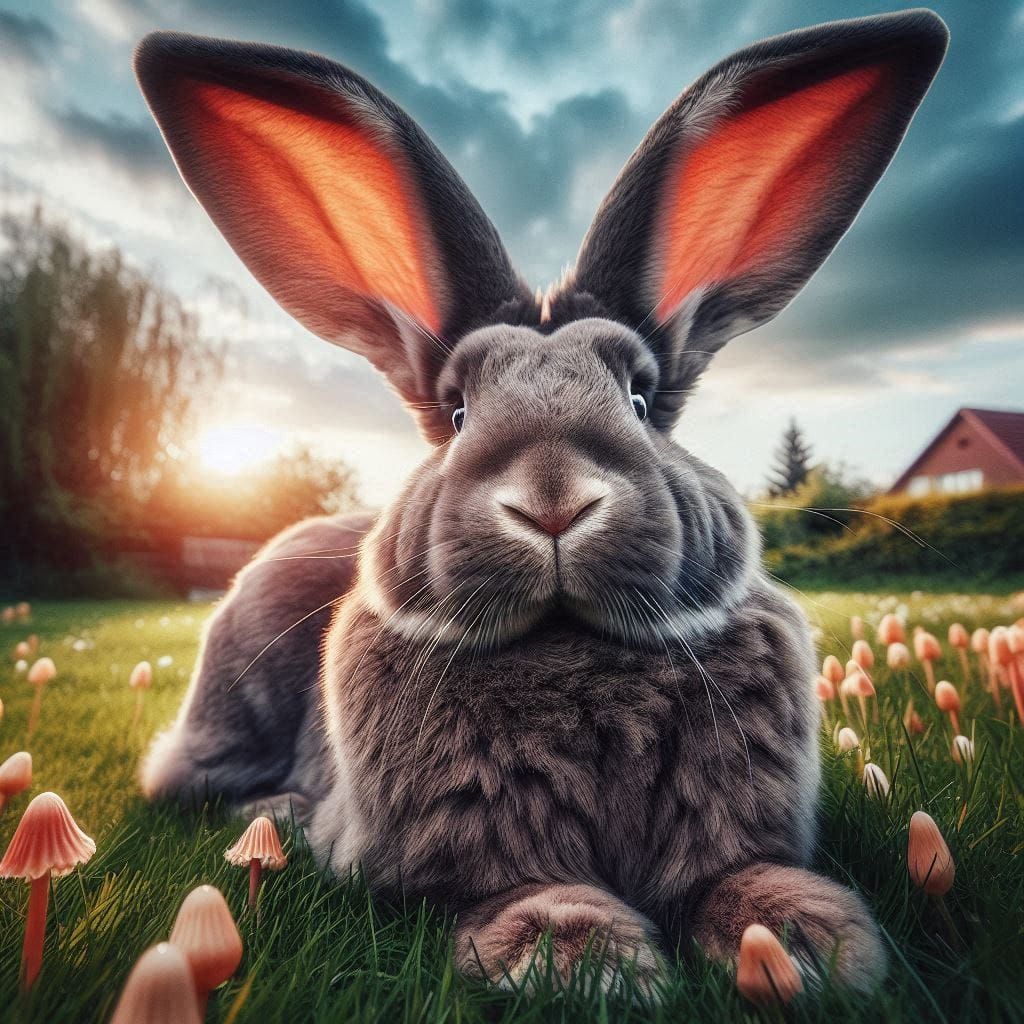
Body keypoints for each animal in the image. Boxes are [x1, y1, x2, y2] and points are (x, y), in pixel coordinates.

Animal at [135, 9, 947, 996]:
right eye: (457, 412)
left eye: (641, 400)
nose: (553, 499)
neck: (574, 655)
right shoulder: (478, 858)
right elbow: (524, 894)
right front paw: (581, 960)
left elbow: (737, 877)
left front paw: (806, 940)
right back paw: (280, 813)